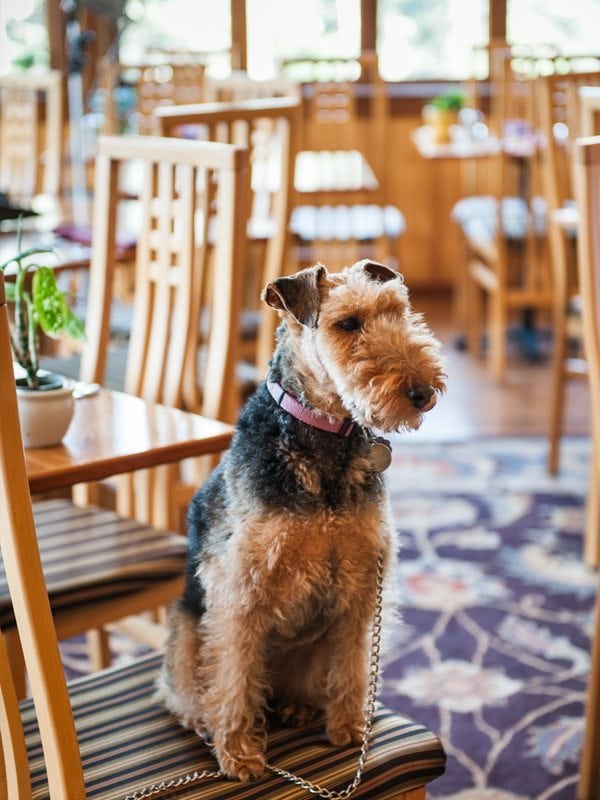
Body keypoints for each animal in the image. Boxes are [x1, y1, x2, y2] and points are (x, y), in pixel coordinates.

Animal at [157, 260, 448, 780]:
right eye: (347, 323)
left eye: (397, 310)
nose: (421, 392)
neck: (323, 432)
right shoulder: (241, 590)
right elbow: (233, 677)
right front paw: (241, 755)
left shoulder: (361, 586)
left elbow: (353, 667)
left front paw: (349, 730)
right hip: (190, 630)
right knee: (191, 690)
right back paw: (204, 722)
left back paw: (296, 707)